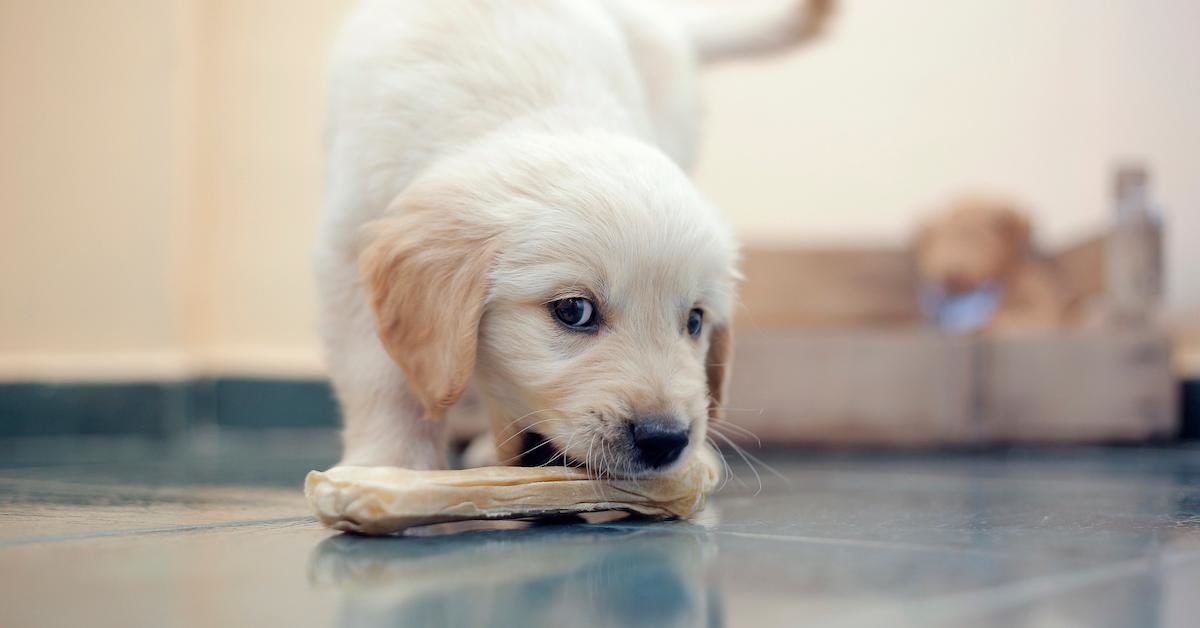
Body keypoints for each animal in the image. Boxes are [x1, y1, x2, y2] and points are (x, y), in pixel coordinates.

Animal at [312, 0, 835, 477]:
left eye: (694, 321)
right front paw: (390, 463)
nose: (666, 439)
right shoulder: (349, 245)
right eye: (574, 311)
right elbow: (379, 375)